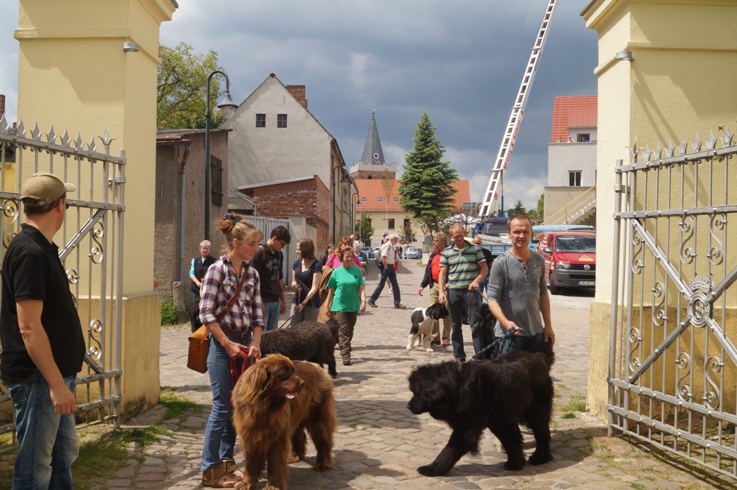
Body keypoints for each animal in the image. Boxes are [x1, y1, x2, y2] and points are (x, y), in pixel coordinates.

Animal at [231, 354, 334, 488]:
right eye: (285, 373)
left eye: (293, 371)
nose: (303, 383)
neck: (263, 407)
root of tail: (316, 366)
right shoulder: (249, 435)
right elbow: (250, 463)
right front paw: (246, 483)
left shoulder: (277, 436)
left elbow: (275, 464)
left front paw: (273, 486)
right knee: (300, 436)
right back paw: (295, 456)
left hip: (318, 416)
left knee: (322, 440)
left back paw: (323, 463)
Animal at [408, 350, 552, 476]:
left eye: (416, 393)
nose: (408, 406)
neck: (457, 388)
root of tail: (538, 356)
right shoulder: (497, 421)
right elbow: (510, 441)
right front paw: (516, 463)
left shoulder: (467, 426)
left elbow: (450, 449)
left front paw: (432, 469)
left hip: (536, 411)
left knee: (542, 433)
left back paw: (541, 458)